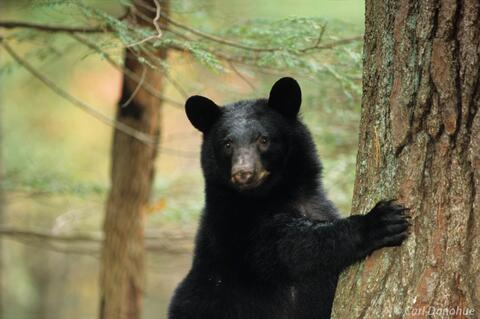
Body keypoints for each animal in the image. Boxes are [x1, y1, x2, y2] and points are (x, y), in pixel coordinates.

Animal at [168, 77, 408, 319]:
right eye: (227, 144)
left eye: (263, 139)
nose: (243, 173)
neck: (277, 193)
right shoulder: (238, 228)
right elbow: (291, 248)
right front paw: (379, 221)